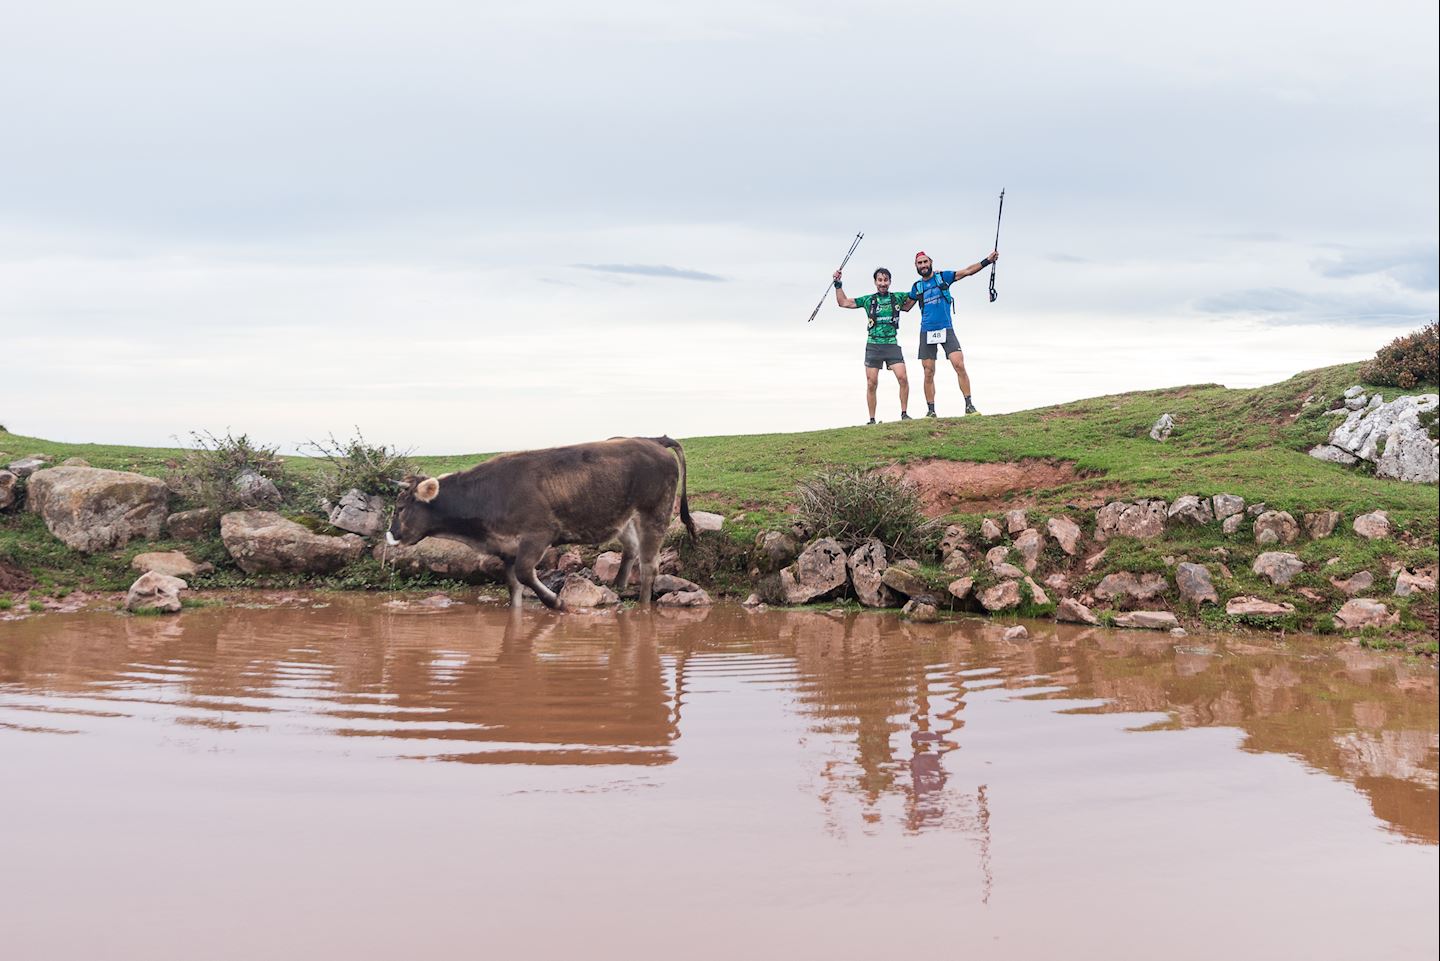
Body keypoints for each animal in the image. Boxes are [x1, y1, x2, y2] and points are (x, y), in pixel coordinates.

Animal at [385, 435, 694, 608]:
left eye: (399, 507)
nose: (390, 535)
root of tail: (653, 441)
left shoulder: (538, 535)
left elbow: (524, 573)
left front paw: (556, 602)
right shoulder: (506, 548)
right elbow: (514, 586)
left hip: (654, 514)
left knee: (649, 566)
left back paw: (642, 607)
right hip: (625, 517)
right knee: (632, 551)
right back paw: (618, 587)